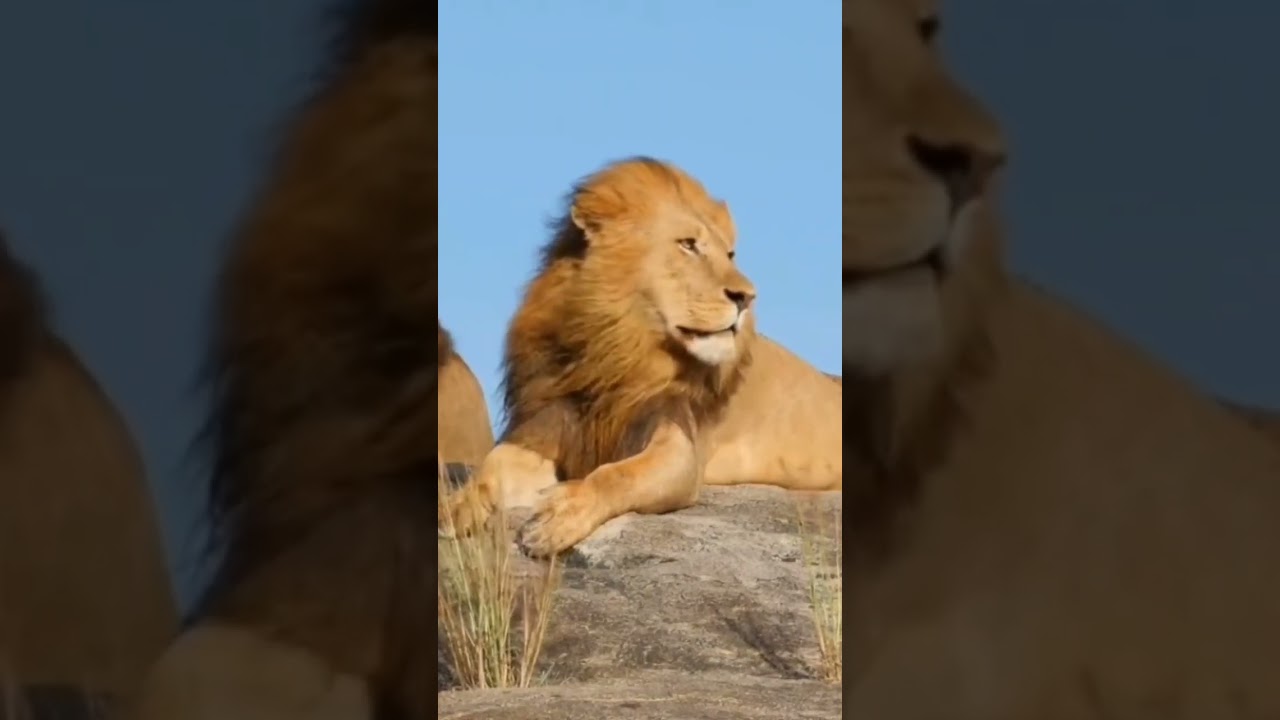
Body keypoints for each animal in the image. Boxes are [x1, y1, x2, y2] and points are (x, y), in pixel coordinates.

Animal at [440, 157, 841, 558]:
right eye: (688, 245)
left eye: (729, 255)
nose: (747, 297)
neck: (619, 347)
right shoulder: (551, 425)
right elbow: (492, 469)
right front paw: (458, 506)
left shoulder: (678, 444)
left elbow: (617, 475)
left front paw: (560, 516)